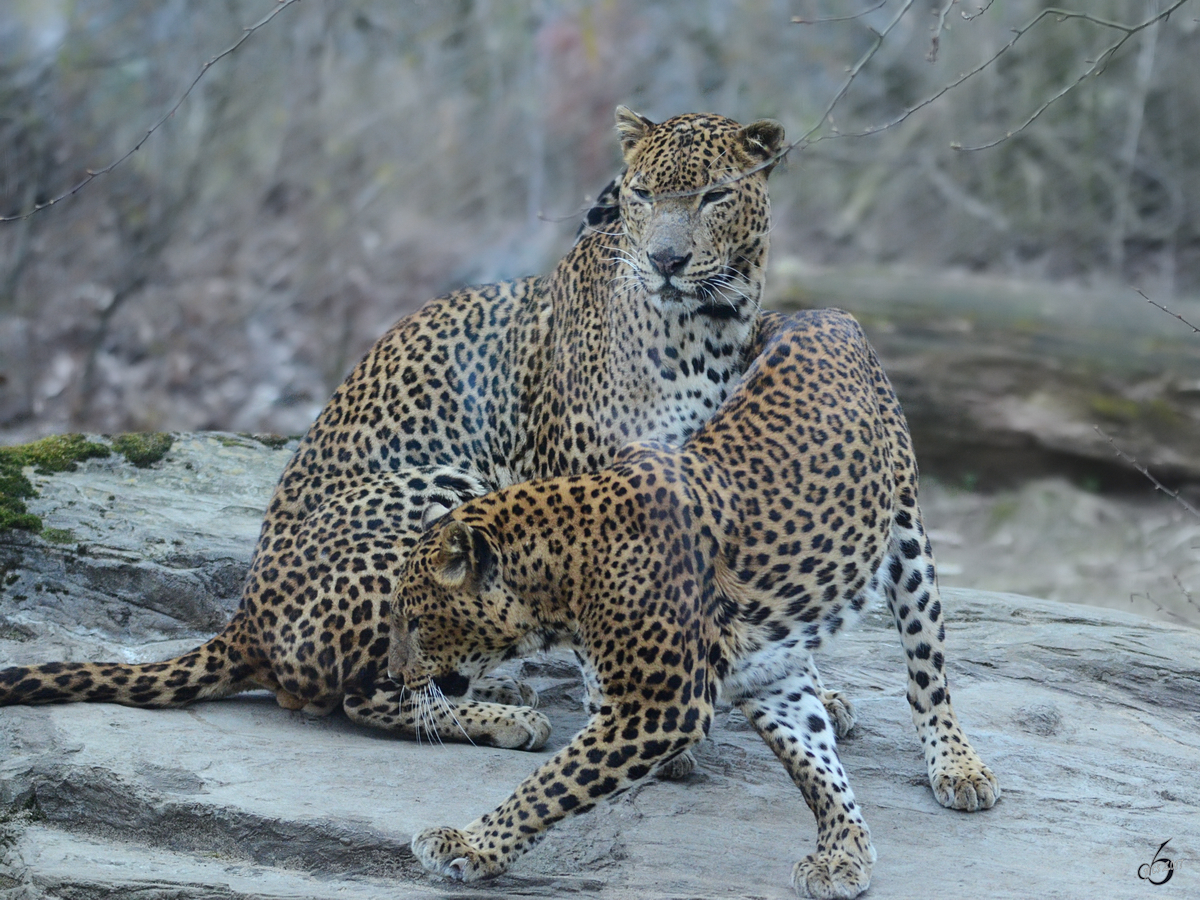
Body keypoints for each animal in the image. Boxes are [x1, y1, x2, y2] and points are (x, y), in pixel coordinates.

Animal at [0, 109, 792, 748]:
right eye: (643, 194)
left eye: (715, 196)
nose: (666, 261)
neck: (712, 323)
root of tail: (244, 620)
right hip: (441, 484)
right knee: (369, 694)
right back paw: (505, 717)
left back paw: (492, 679)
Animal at [388, 309, 998, 900]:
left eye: (415, 622)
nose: (393, 675)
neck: (562, 579)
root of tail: (819, 311)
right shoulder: (767, 676)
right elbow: (813, 761)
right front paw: (842, 848)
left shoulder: (658, 708)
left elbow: (550, 785)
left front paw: (468, 843)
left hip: (909, 540)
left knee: (927, 672)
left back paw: (958, 766)